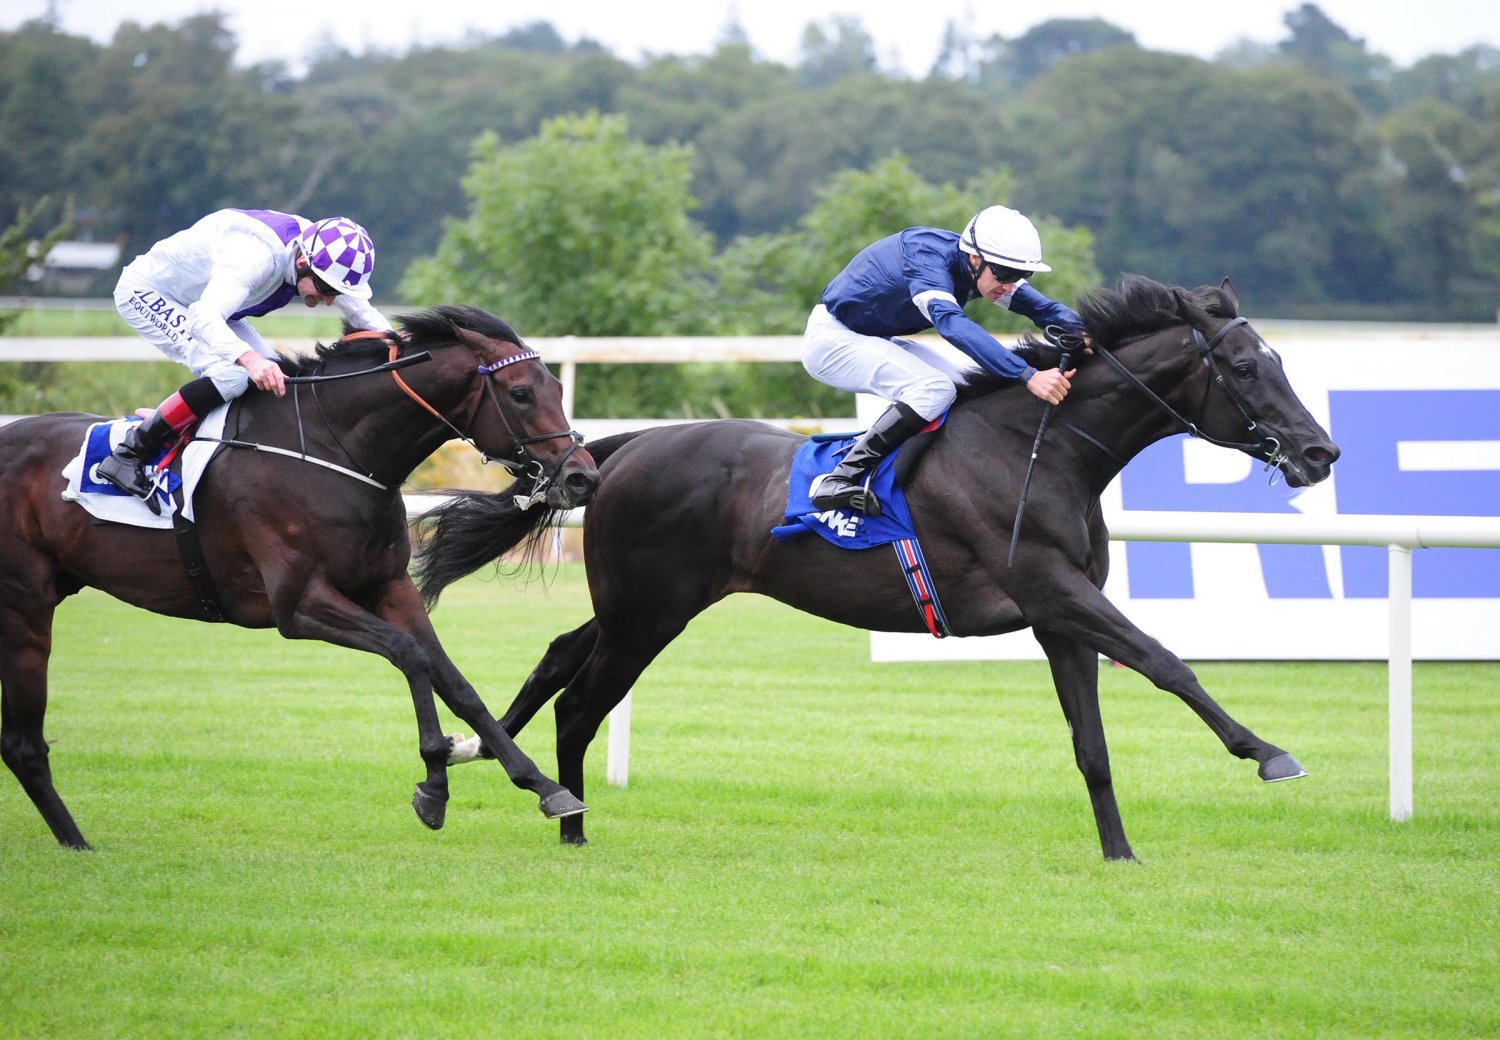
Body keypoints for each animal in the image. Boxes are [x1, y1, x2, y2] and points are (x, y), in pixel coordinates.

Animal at [0, 304, 598, 850]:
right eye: (520, 394)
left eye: (555, 388)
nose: (583, 477)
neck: (336, 453)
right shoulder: (299, 604)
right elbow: (410, 655)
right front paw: (434, 782)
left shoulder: (389, 586)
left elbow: (454, 681)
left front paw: (543, 785)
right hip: (25, 606)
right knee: (23, 744)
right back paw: (77, 845)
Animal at [415, 277, 1341, 861]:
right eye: (1248, 367)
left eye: (1283, 362)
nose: (1319, 452)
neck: (1043, 451)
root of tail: (625, 446)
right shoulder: (1055, 590)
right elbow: (1164, 660)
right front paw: (1268, 753)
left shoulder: (1058, 618)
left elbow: (1093, 744)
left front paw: (1120, 854)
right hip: (649, 612)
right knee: (580, 704)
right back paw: (567, 823)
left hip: (640, 605)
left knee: (558, 657)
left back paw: (475, 757)